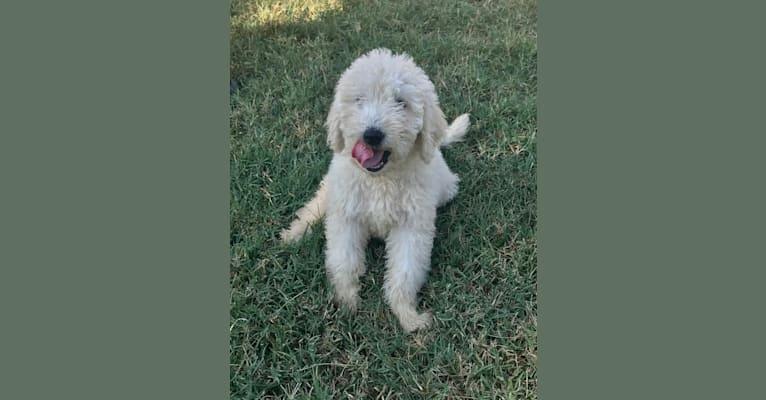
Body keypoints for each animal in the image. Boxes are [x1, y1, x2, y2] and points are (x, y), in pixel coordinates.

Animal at [282, 48, 472, 332]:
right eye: (359, 99)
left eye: (401, 102)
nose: (371, 135)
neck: (380, 179)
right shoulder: (347, 218)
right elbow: (344, 260)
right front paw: (347, 301)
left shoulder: (411, 228)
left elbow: (405, 271)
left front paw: (408, 315)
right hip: (333, 188)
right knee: (316, 205)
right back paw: (294, 233)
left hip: (447, 187)